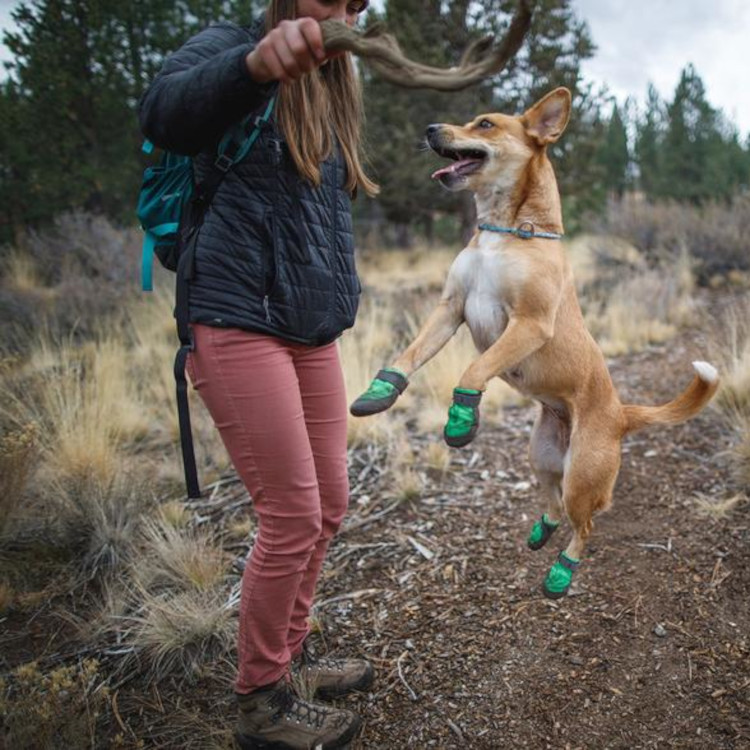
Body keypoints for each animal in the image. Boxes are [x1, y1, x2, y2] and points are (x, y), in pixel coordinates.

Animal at [354, 86, 724, 600]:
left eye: (485, 124)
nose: (429, 129)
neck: (506, 231)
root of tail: (621, 415)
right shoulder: (450, 308)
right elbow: (410, 354)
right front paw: (381, 392)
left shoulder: (528, 324)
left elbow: (476, 369)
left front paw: (461, 417)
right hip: (542, 456)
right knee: (552, 504)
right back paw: (541, 531)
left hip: (582, 477)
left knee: (584, 524)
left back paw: (562, 572)